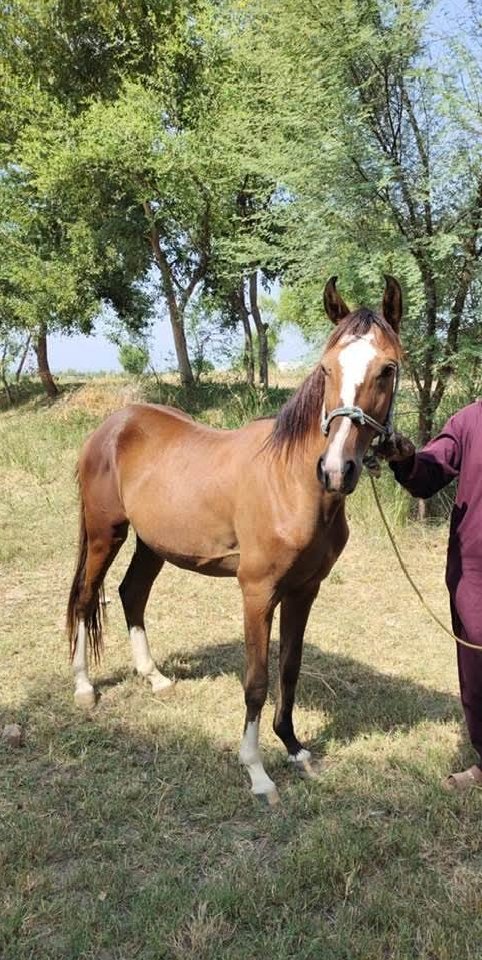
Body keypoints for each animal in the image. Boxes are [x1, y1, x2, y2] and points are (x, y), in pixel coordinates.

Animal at [67, 275, 403, 803]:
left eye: (387, 369)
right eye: (326, 369)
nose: (335, 470)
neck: (291, 482)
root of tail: (111, 426)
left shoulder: (304, 590)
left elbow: (290, 668)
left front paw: (294, 748)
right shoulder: (257, 592)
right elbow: (257, 681)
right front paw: (257, 772)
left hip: (152, 545)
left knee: (131, 593)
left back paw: (155, 678)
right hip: (106, 534)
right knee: (86, 598)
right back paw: (84, 688)